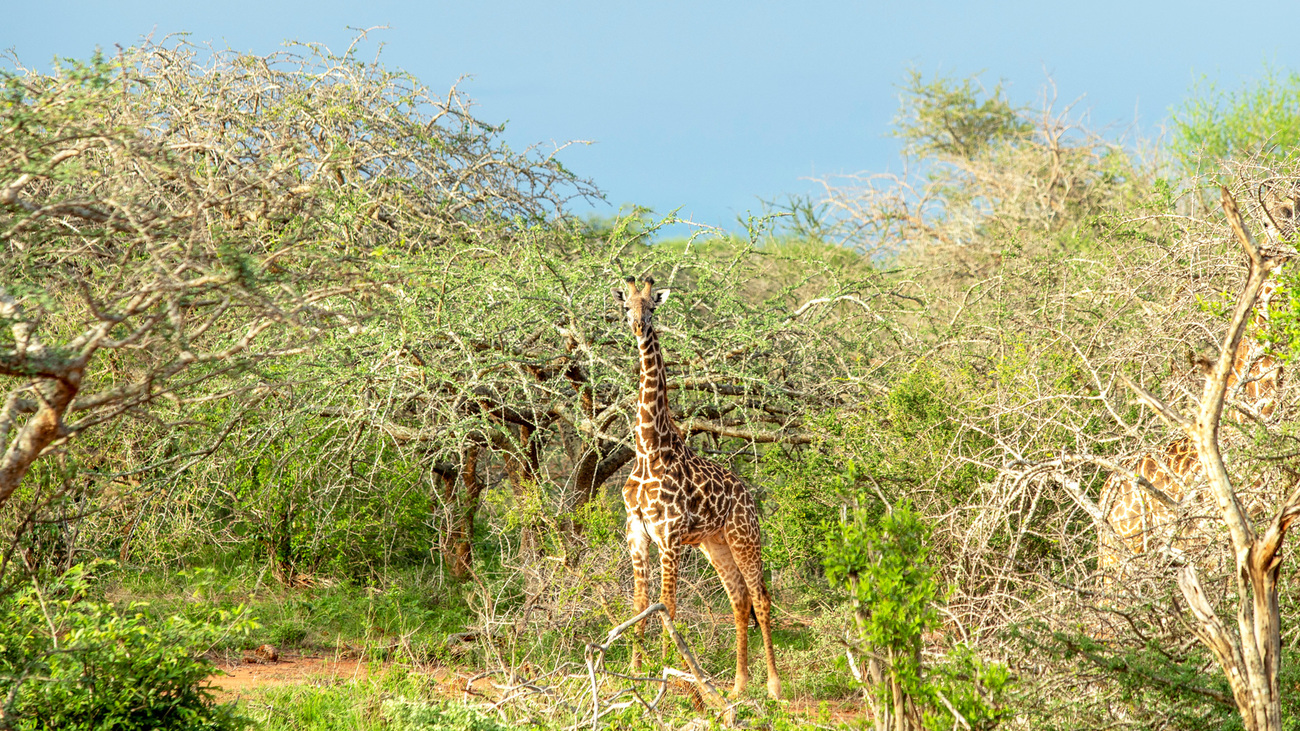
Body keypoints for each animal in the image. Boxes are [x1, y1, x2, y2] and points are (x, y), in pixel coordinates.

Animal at [611, 275, 780, 697]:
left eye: (651, 307)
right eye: (627, 307)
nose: (638, 327)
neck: (648, 448)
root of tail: (748, 495)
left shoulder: (668, 535)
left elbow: (666, 605)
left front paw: (671, 674)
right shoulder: (636, 531)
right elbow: (640, 604)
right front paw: (637, 674)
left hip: (744, 537)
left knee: (760, 598)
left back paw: (773, 686)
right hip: (714, 544)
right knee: (739, 599)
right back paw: (738, 685)